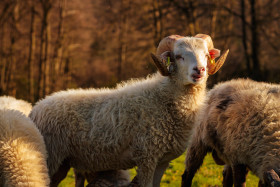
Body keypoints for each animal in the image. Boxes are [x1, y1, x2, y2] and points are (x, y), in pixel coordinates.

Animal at [29, 34, 229, 187]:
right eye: (179, 56)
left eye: (206, 55)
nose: (199, 70)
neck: (164, 99)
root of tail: (37, 107)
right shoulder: (146, 156)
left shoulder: (163, 160)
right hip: (50, 156)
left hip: (62, 163)